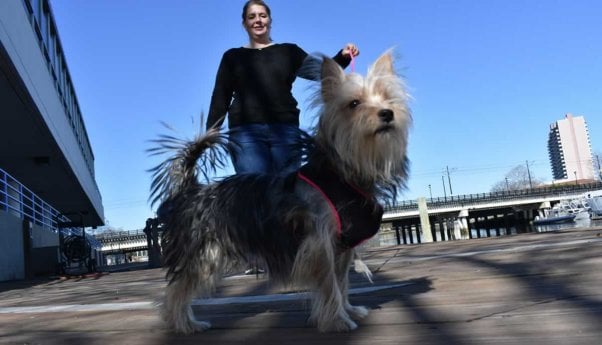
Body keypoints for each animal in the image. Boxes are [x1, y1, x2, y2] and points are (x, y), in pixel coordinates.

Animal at [148, 49, 410, 332]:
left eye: (387, 97)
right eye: (353, 104)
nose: (387, 113)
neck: (341, 171)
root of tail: (191, 188)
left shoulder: (341, 247)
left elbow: (342, 282)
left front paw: (349, 309)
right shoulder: (320, 243)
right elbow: (330, 284)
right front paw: (337, 320)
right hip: (202, 253)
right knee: (177, 289)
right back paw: (184, 324)